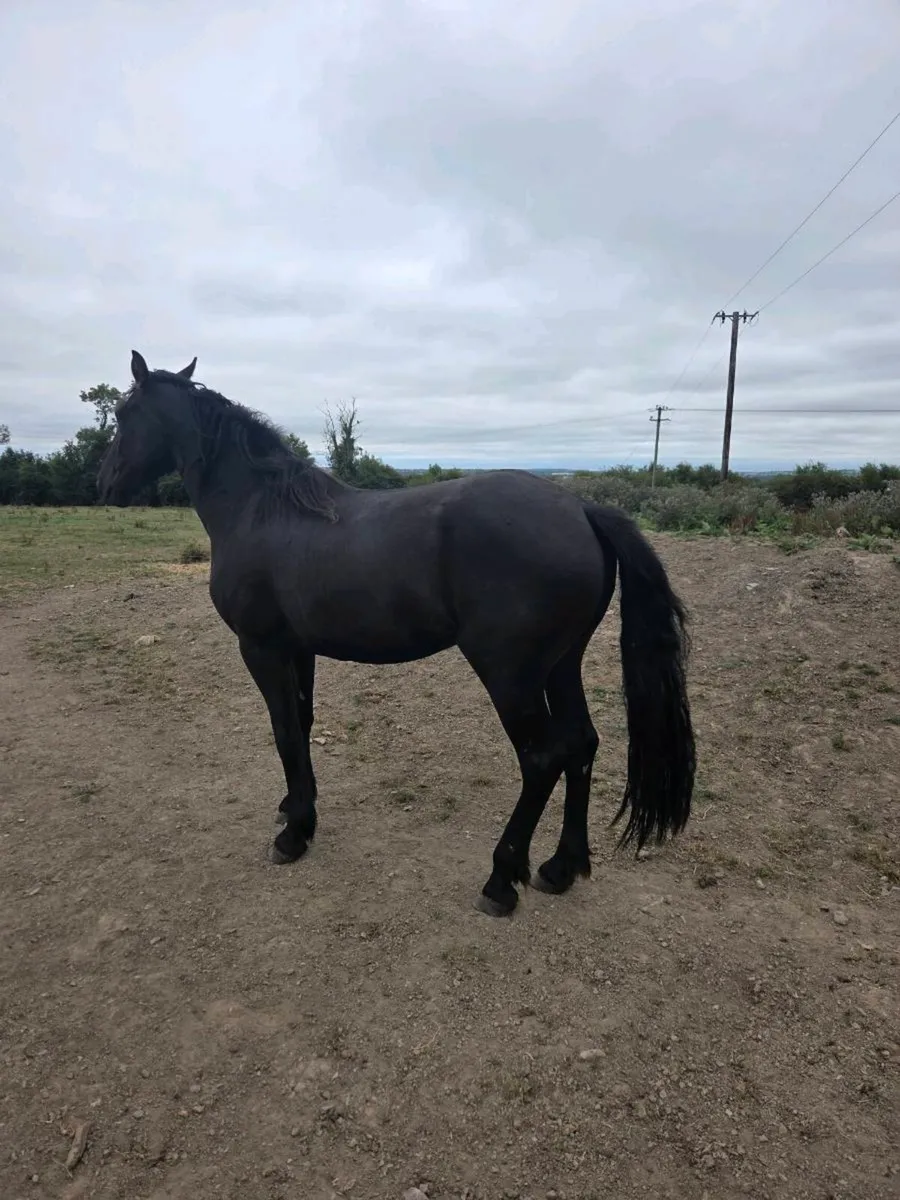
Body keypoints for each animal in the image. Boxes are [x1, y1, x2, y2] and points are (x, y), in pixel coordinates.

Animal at [98, 351, 696, 917]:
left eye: (124, 414)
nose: (106, 483)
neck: (260, 510)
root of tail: (580, 506)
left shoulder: (261, 647)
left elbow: (284, 730)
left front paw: (294, 834)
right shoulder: (298, 649)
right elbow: (302, 723)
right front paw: (297, 807)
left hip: (510, 674)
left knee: (543, 759)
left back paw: (501, 881)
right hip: (561, 665)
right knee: (581, 745)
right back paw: (561, 867)